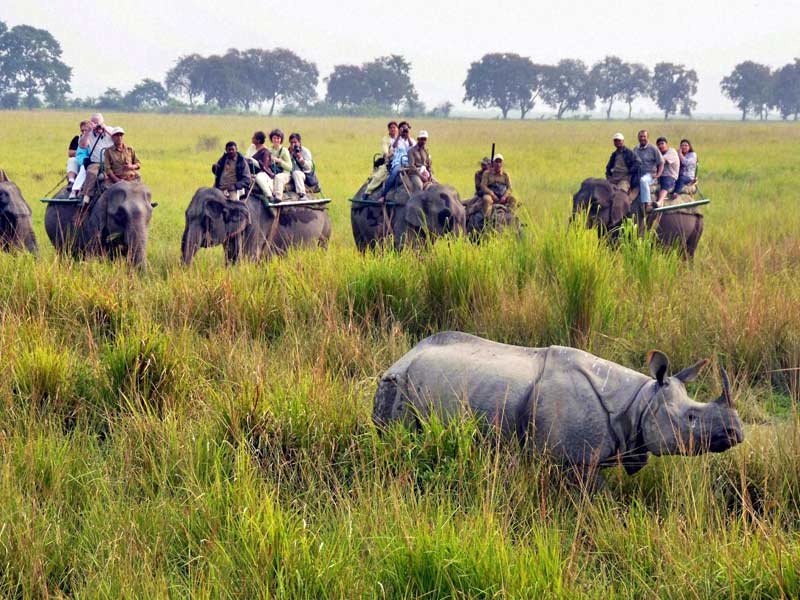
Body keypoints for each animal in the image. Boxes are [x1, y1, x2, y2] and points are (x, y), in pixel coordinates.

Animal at [181, 185, 332, 264]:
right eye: (186, 216)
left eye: (206, 220)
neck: (230, 199)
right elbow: (230, 259)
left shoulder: (254, 227)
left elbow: (248, 260)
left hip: (325, 232)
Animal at [376, 330, 744, 490]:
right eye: (690, 418)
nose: (736, 433)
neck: (640, 401)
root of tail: (403, 357)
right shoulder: (575, 459)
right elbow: (593, 498)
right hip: (397, 385)